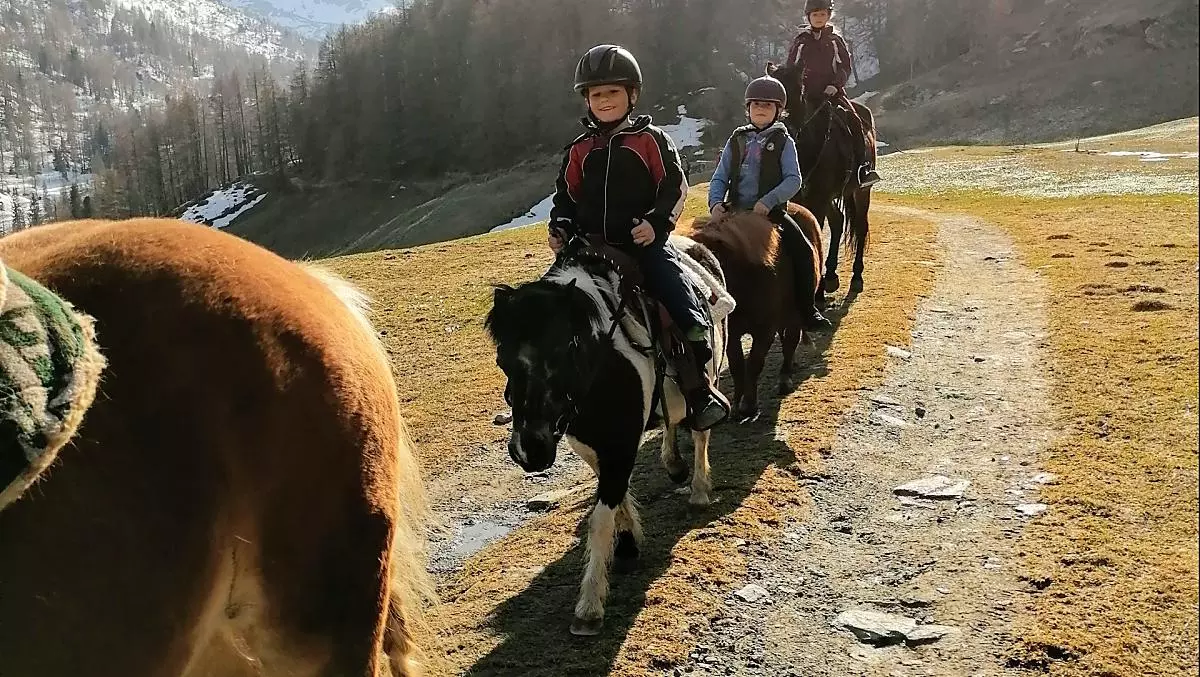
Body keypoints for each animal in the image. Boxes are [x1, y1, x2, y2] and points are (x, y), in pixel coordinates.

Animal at [485, 233, 731, 637]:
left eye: (566, 348)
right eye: (502, 359)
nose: (531, 450)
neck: (600, 368)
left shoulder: (620, 444)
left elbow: (601, 517)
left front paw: (589, 607)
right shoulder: (591, 445)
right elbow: (615, 496)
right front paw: (629, 542)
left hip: (710, 376)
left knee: (700, 433)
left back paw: (697, 489)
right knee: (672, 424)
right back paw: (673, 463)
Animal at [683, 206, 823, 422]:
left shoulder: (765, 330)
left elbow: (755, 362)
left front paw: (749, 405)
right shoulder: (731, 332)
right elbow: (737, 365)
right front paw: (736, 403)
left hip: (795, 315)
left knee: (790, 342)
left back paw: (785, 378)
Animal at [767, 61, 874, 296]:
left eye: (799, 91)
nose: (782, 126)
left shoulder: (818, 200)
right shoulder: (801, 199)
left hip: (861, 191)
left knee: (860, 226)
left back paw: (856, 276)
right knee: (838, 221)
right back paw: (832, 275)